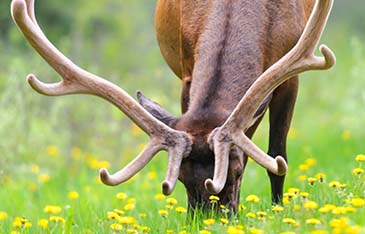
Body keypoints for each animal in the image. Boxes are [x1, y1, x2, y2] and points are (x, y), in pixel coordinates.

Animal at [10, 0, 336, 212]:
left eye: (236, 172)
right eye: (181, 178)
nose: (207, 221)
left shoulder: (289, 80)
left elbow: (277, 158)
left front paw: (277, 209)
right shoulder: (186, 67)